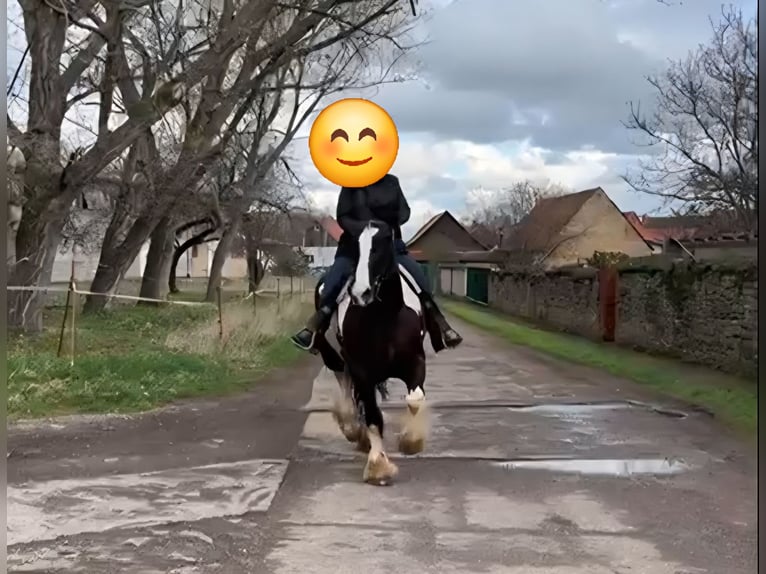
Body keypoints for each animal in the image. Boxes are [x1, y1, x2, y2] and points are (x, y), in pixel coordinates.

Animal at [313, 221, 429, 485]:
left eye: (382, 245)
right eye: (355, 248)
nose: (360, 293)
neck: (385, 318)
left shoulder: (416, 362)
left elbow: (415, 400)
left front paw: (411, 441)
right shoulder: (361, 371)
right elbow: (373, 417)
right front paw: (378, 466)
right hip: (335, 359)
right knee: (349, 396)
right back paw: (355, 432)